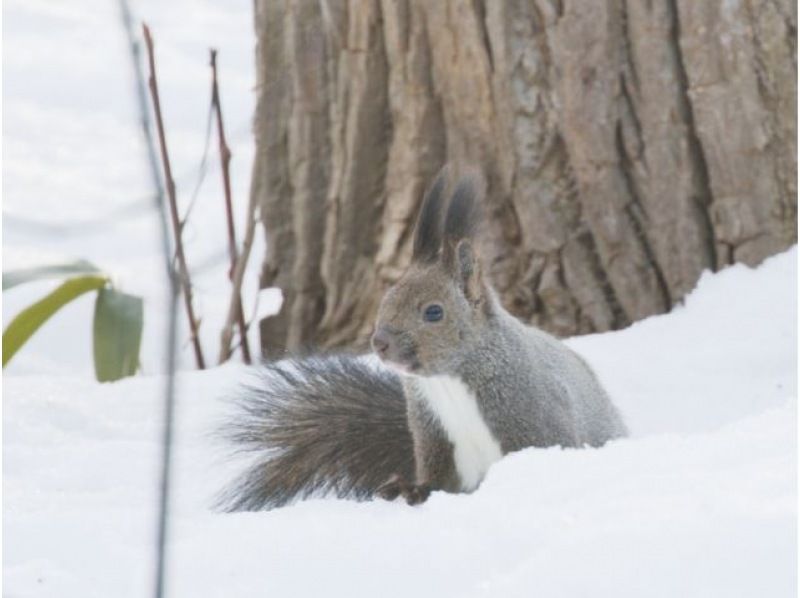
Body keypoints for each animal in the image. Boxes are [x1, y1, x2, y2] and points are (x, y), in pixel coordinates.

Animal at [217, 168, 624, 510]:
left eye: (433, 312)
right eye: (385, 299)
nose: (379, 343)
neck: (450, 379)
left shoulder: (534, 417)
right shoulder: (432, 434)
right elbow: (437, 478)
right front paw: (410, 488)